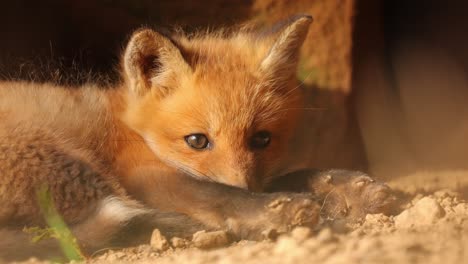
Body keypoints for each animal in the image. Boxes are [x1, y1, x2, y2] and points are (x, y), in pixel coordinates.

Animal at [0, 14, 394, 260]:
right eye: (197, 141)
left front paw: (345, 187)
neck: (133, 131)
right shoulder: (142, 176)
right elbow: (217, 193)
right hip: (71, 165)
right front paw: (278, 210)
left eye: (262, 140)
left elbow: (288, 177)